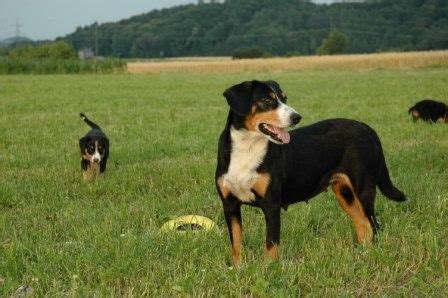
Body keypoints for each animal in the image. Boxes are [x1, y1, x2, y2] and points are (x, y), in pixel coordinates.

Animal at [215, 79, 408, 266]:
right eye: (267, 100)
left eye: (284, 98)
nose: (296, 117)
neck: (247, 148)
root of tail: (366, 127)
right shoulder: (230, 205)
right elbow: (236, 243)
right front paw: (238, 269)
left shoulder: (271, 204)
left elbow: (271, 245)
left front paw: (268, 269)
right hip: (345, 193)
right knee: (364, 226)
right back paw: (360, 256)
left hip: (363, 188)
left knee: (373, 225)